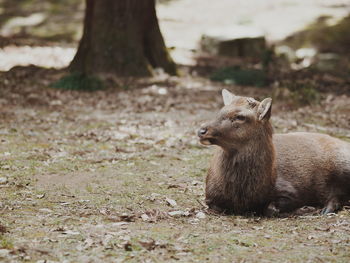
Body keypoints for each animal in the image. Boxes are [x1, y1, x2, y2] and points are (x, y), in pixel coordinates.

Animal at [198, 89, 350, 217]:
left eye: (240, 117)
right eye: (221, 110)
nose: (202, 130)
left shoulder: (291, 190)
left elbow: (270, 209)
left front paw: (303, 208)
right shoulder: (210, 197)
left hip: (342, 163)